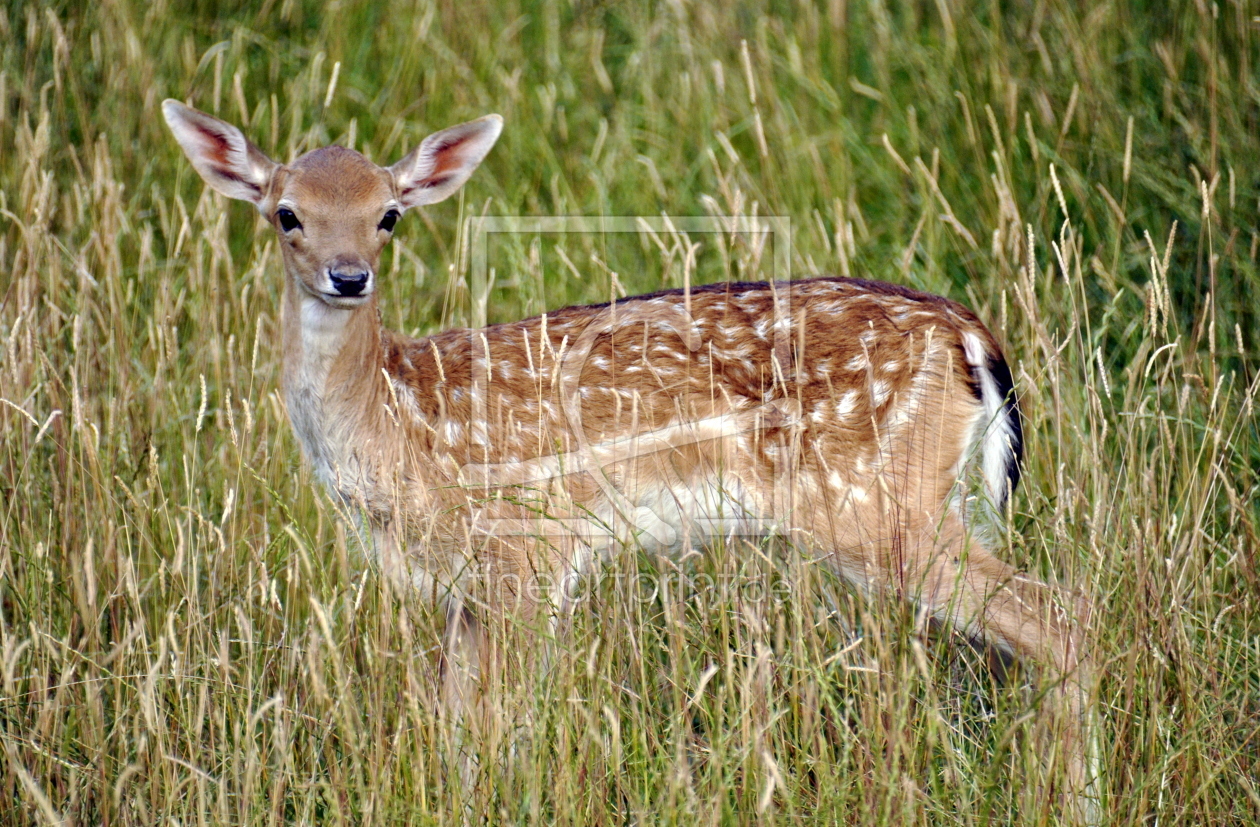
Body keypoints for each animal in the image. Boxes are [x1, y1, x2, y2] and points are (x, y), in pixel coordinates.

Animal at [165, 100, 1093, 816]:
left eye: (389, 213)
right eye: (286, 213)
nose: (348, 274)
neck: (395, 425)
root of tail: (972, 337)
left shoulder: (531, 554)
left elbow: (501, 728)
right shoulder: (466, 588)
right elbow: (456, 727)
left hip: (878, 504)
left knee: (1060, 617)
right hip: (937, 502)